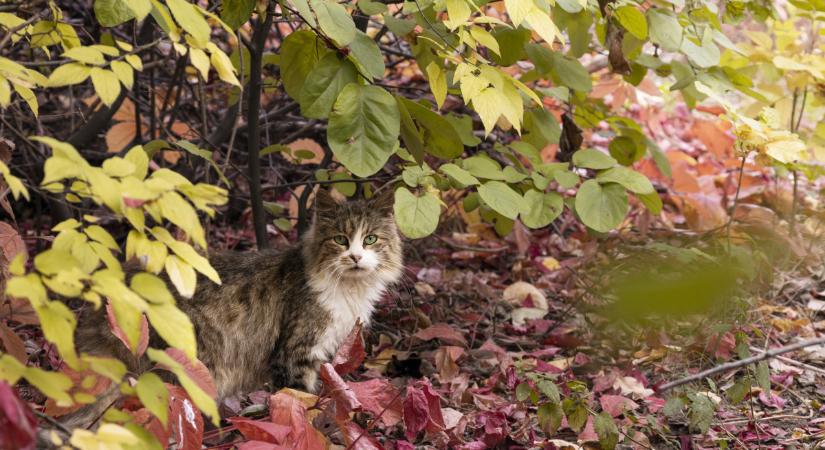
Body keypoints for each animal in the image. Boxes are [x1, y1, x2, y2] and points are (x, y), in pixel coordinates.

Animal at [62, 188, 402, 430]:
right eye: (341, 240)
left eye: (370, 239)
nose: (355, 257)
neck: (349, 291)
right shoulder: (296, 353)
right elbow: (300, 398)